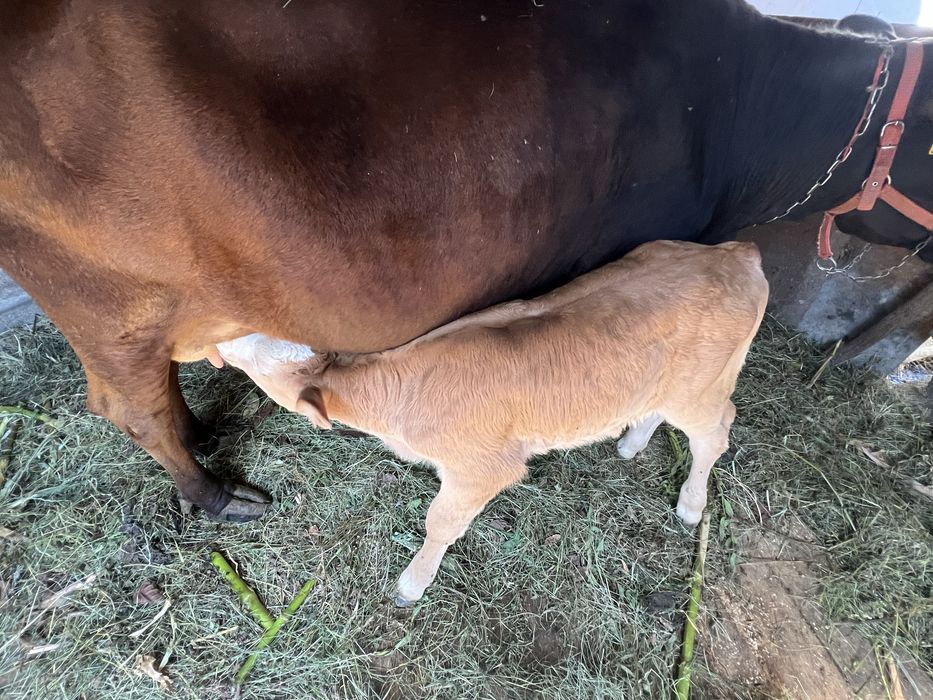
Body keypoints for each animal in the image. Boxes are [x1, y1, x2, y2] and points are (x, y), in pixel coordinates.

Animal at [215, 240, 768, 603]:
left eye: (258, 355)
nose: (215, 335)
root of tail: (735, 252)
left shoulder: (481, 468)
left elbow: (439, 523)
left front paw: (412, 585)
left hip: (702, 389)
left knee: (715, 434)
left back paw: (691, 505)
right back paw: (632, 441)